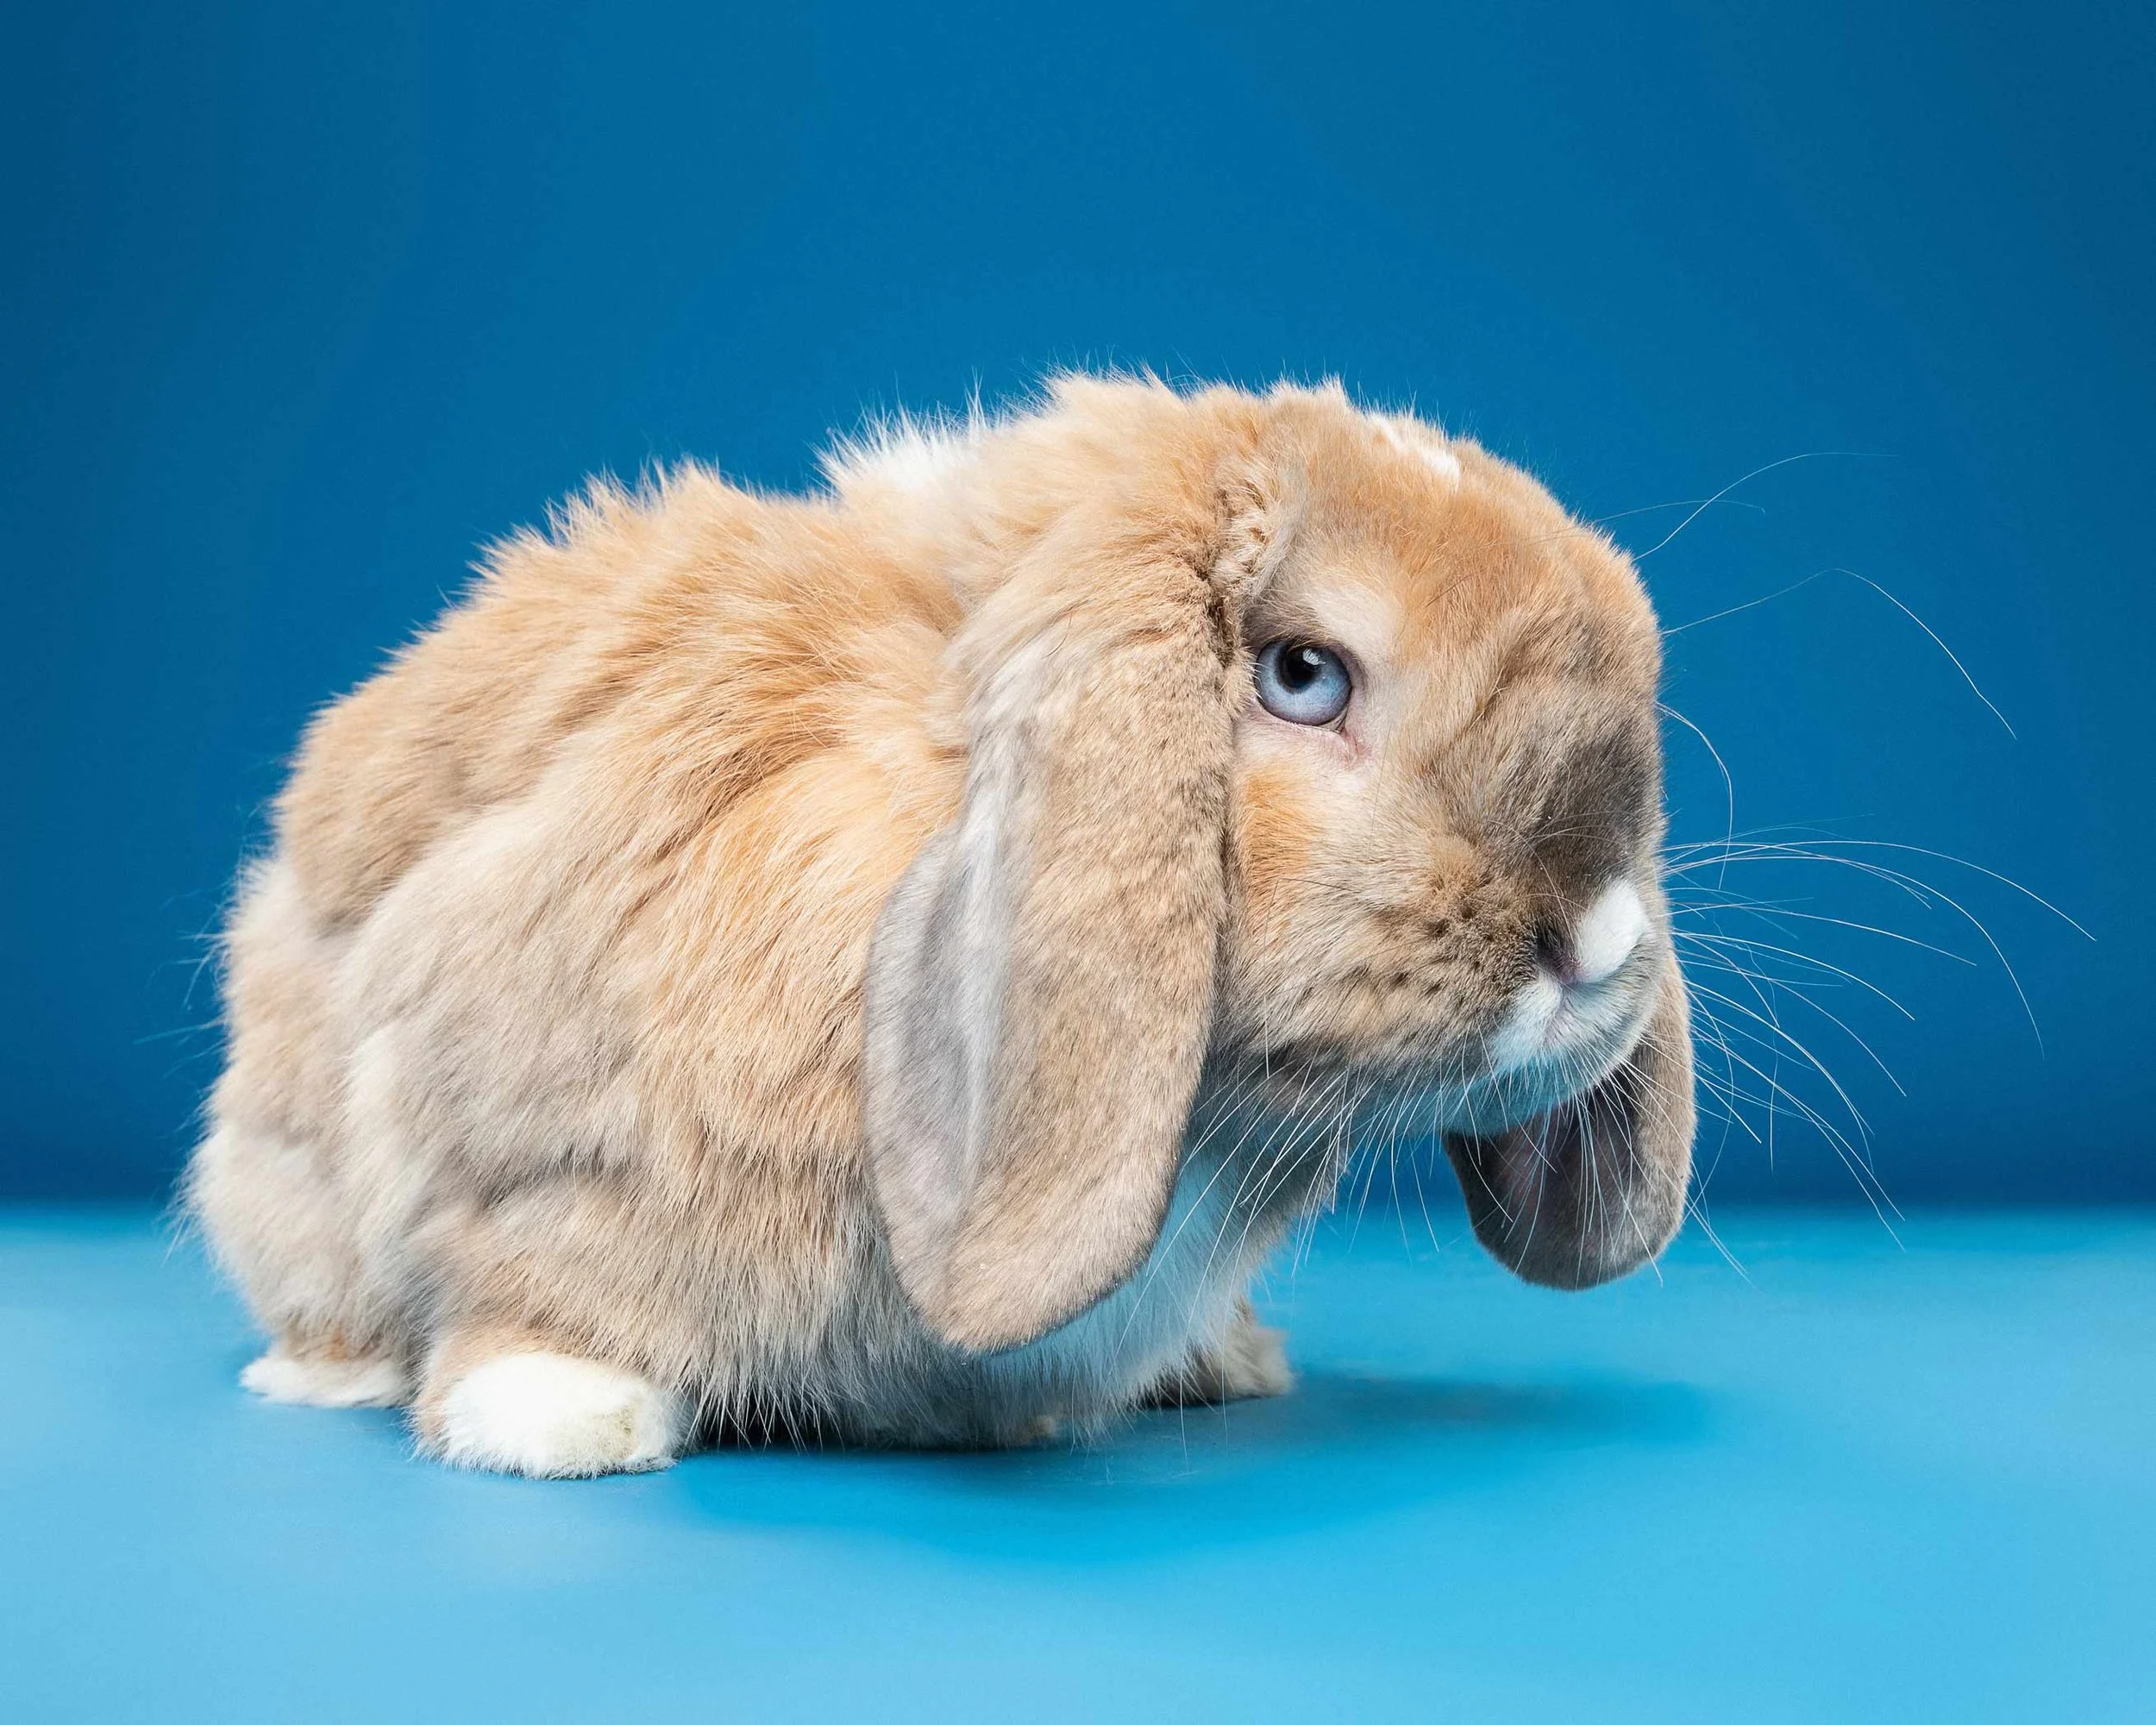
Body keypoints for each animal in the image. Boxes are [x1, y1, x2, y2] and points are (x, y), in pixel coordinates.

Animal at [187, 374, 1695, 1477]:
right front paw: (559, 1425)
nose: (1596, 937)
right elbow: (530, 1291)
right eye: (1304, 675)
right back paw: (324, 1375)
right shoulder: (534, 1153)